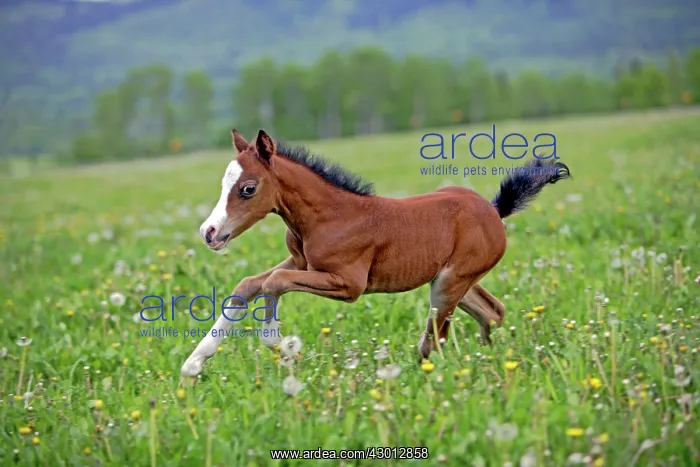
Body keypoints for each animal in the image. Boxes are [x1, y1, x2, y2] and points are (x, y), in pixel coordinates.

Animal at [180, 128, 570, 383]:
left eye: (248, 188)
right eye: (223, 184)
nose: (209, 232)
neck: (329, 215)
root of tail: (494, 210)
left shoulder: (349, 284)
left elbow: (274, 283)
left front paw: (280, 344)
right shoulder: (302, 263)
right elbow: (249, 285)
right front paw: (194, 364)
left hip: (449, 283)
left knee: (433, 340)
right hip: (455, 280)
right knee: (492, 312)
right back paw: (488, 361)